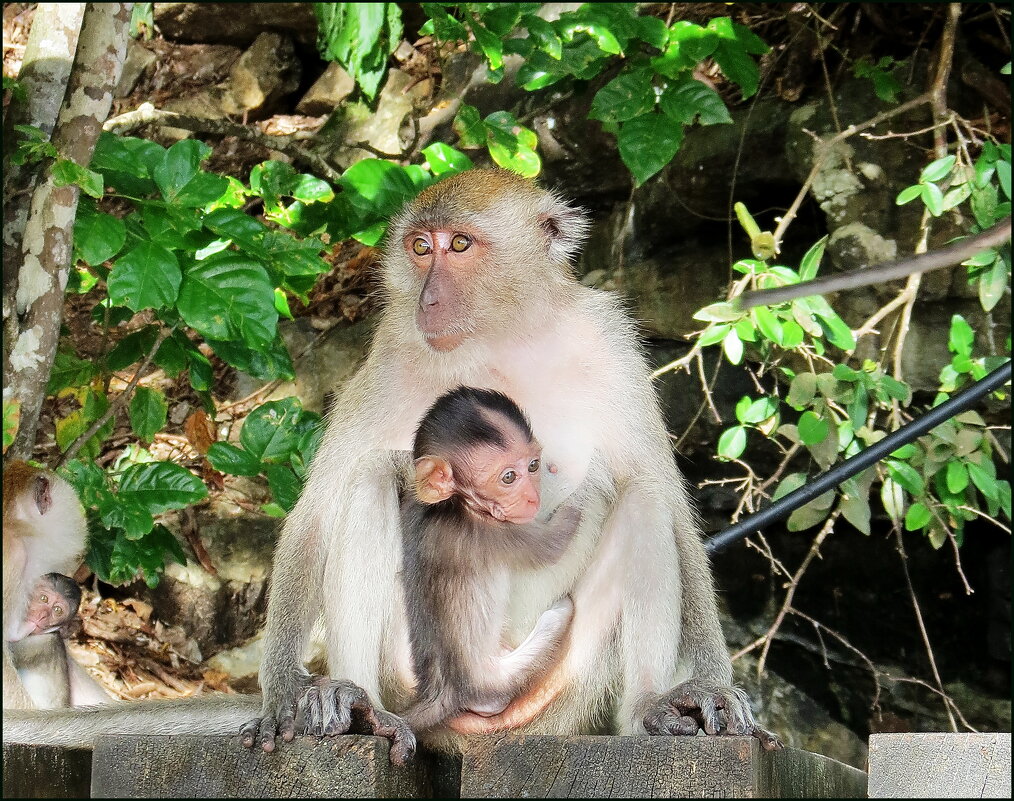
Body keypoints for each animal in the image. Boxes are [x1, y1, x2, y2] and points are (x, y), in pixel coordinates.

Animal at [399, 389, 584, 734]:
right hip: (497, 680)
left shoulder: (413, 506)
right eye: (508, 477)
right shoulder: (492, 533)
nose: (533, 498)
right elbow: (552, 545)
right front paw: (577, 502)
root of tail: (445, 692)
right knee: (554, 621)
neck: (455, 504)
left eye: (533, 465)